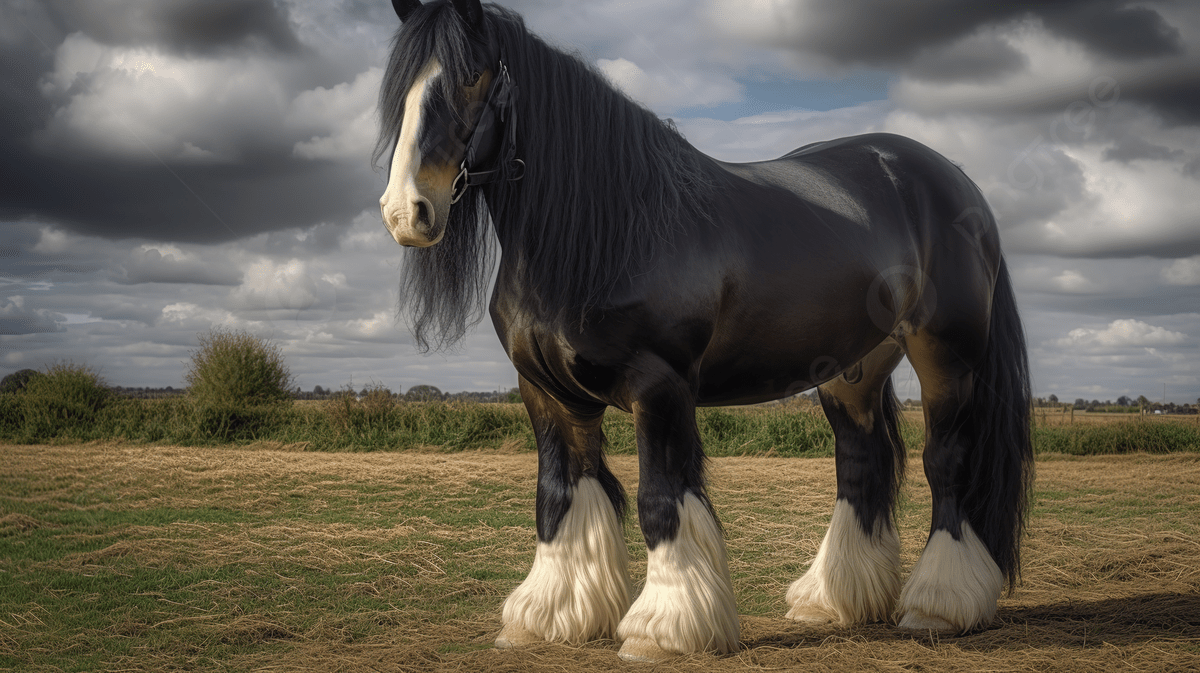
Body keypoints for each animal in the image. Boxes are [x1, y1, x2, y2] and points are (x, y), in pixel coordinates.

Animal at [376, 0, 1033, 661]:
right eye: (399, 89)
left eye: (471, 76)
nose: (407, 211)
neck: (609, 227)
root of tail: (952, 180)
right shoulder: (547, 392)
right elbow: (560, 493)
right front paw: (549, 616)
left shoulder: (658, 384)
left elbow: (661, 499)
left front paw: (662, 628)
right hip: (852, 371)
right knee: (860, 463)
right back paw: (831, 601)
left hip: (947, 358)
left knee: (946, 463)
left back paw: (938, 606)